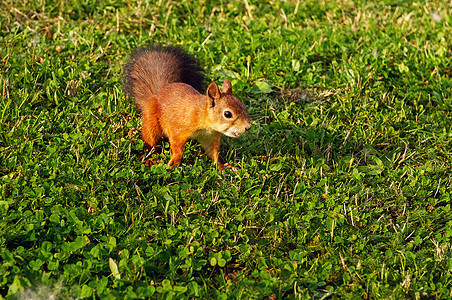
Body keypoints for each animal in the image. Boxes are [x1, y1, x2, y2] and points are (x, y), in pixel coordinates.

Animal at [123, 44, 251, 169]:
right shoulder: (178, 128)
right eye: (227, 114)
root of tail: (157, 93)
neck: (202, 117)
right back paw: (150, 158)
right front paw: (175, 162)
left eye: (244, 106)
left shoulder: (209, 136)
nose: (248, 127)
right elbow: (177, 146)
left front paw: (221, 165)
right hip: (151, 122)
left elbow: (213, 152)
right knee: (150, 142)